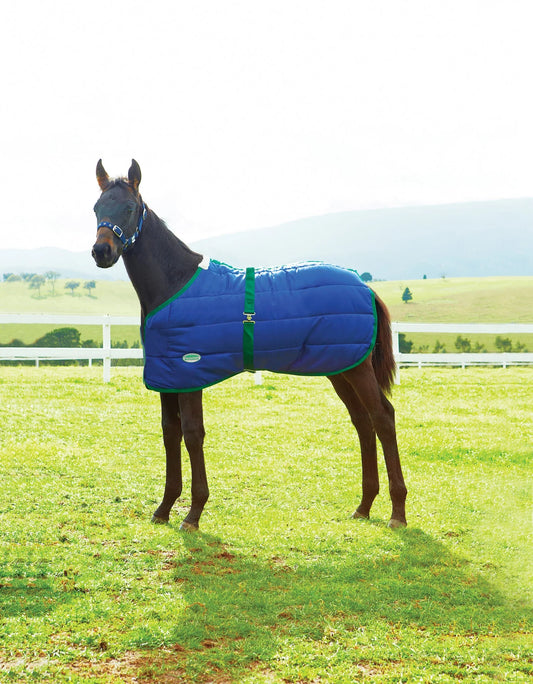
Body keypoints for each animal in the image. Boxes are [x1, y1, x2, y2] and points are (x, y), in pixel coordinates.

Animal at [91, 159, 407, 531]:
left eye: (129, 207)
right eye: (96, 207)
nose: (101, 252)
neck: (175, 284)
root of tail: (365, 286)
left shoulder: (190, 374)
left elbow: (192, 434)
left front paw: (193, 514)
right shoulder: (168, 378)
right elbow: (170, 434)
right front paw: (164, 508)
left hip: (357, 370)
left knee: (382, 417)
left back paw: (398, 513)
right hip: (340, 368)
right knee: (363, 422)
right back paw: (364, 506)